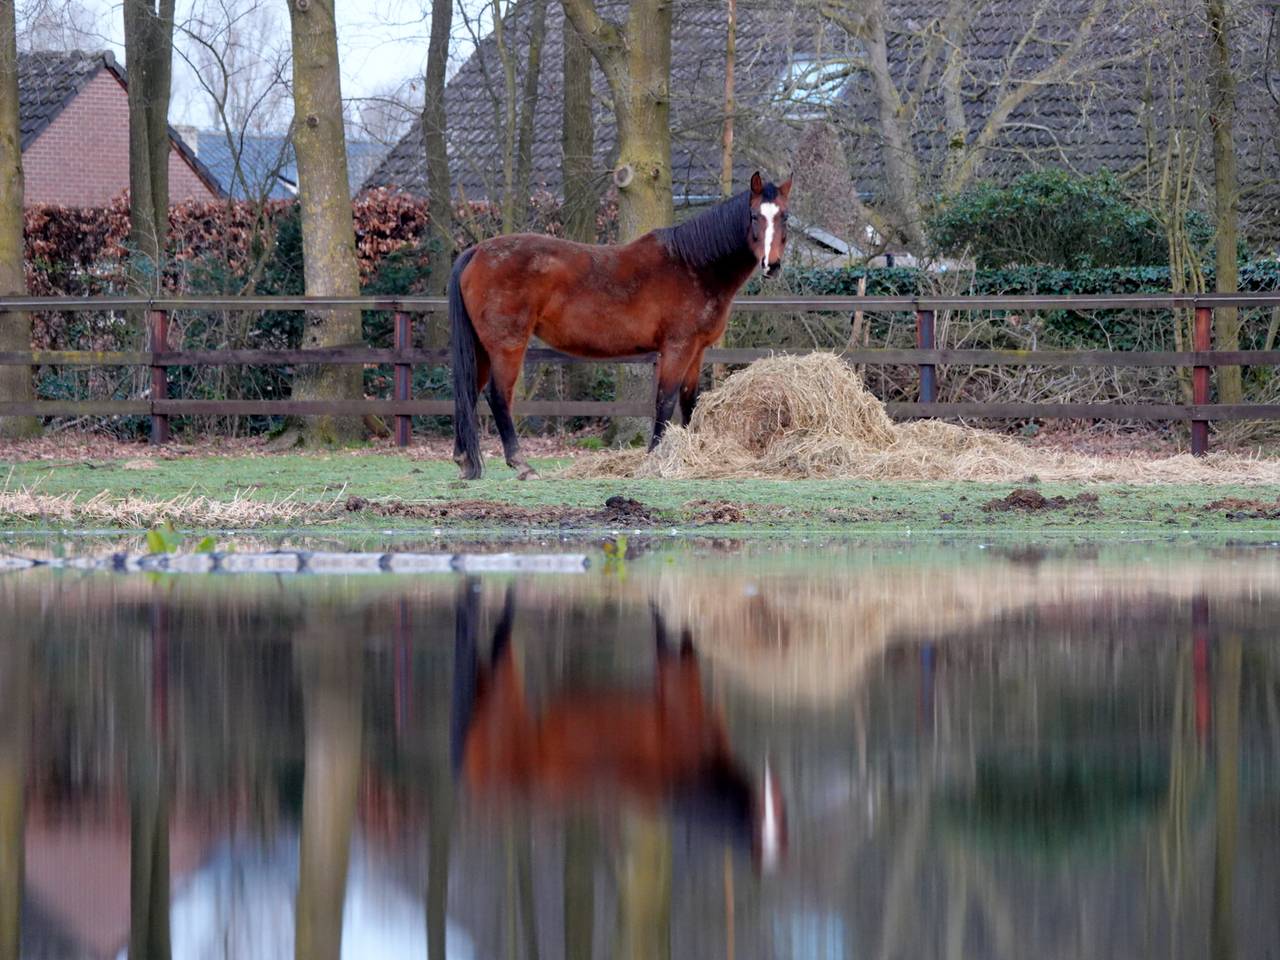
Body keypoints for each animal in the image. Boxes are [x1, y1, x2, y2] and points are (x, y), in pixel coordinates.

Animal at [449, 171, 793, 479]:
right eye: (754, 216)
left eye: (785, 217)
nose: (772, 265)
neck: (692, 265)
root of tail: (476, 251)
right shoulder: (677, 347)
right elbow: (665, 400)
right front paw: (655, 456)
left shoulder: (697, 351)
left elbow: (688, 400)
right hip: (507, 346)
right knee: (498, 396)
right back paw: (521, 464)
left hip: (482, 349)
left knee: (469, 391)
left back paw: (464, 461)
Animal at [451, 582, 787, 874]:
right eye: (760, 817)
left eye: (781, 816)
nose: (771, 777)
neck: (689, 774)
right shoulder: (673, 678)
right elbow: (660, 625)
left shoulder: (686, 668)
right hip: (503, 699)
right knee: (486, 633)